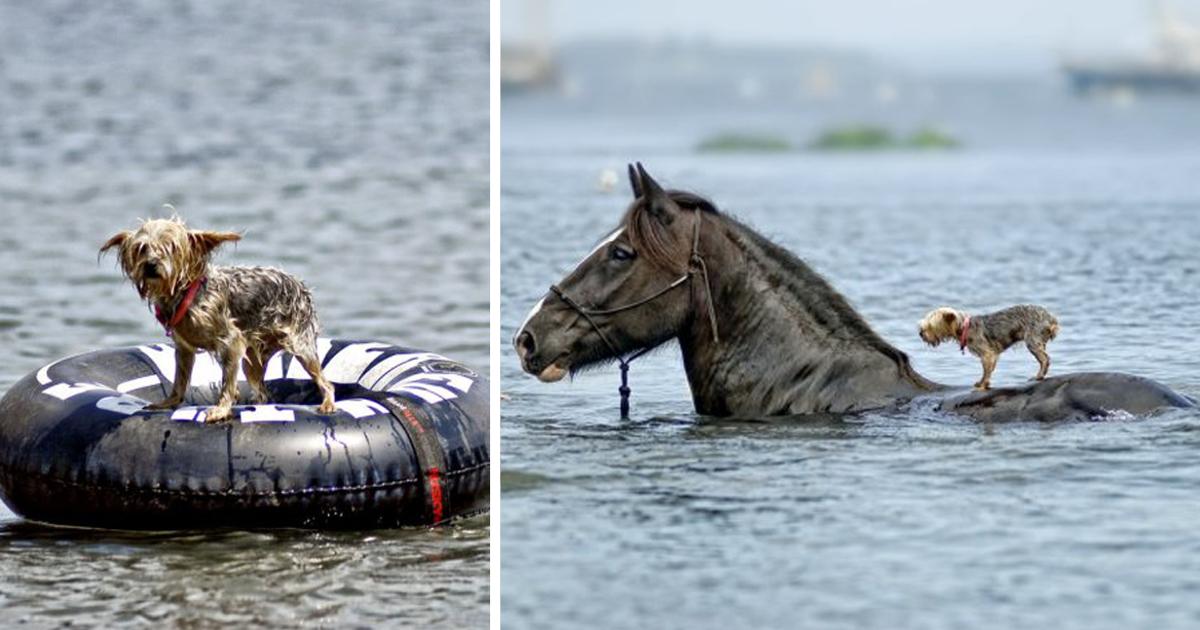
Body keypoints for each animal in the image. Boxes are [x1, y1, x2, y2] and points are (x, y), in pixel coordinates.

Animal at [100, 213, 336, 420]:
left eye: (172, 247)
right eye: (141, 249)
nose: (150, 264)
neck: (185, 295)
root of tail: (300, 285)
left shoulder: (231, 341)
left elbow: (227, 382)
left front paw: (221, 409)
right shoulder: (184, 350)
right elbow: (179, 381)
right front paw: (168, 403)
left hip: (300, 344)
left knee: (324, 381)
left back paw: (327, 403)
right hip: (252, 360)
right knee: (262, 390)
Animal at [916, 303, 1060, 388]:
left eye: (930, 326)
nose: (920, 333)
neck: (964, 327)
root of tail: (1051, 319)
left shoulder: (987, 353)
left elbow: (986, 370)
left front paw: (982, 383)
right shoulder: (992, 355)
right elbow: (990, 369)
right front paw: (985, 382)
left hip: (1032, 339)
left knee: (1045, 359)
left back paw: (1039, 376)